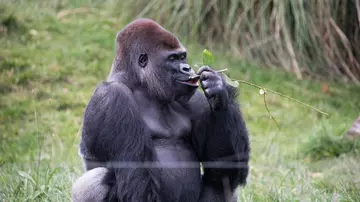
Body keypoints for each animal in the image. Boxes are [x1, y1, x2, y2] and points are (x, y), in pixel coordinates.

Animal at [71, 19, 249, 202]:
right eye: (172, 58)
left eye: (182, 57)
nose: (187, 68)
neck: (140, 84)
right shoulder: (113, 98)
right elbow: (137, 186)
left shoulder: (196, 101)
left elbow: (223, 168)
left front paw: (218, 89)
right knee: (97, 178)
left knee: (222, 183)